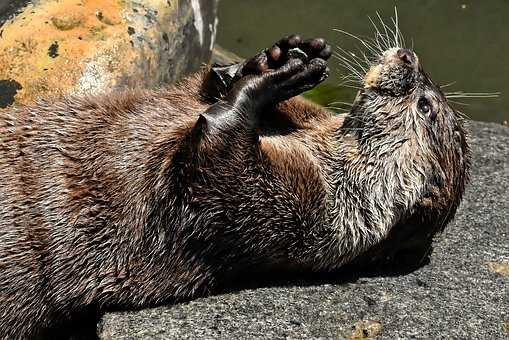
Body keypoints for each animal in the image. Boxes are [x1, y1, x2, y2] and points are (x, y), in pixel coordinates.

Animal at [0, 31, 468, 338]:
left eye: (425, 105)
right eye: (426, 89)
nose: (408, 56)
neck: (325, 160)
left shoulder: (289, 215)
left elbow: (206, 171)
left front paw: (265, 82)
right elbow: (197, 91)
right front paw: (275, 57)